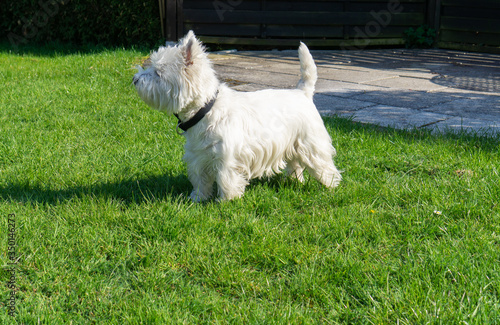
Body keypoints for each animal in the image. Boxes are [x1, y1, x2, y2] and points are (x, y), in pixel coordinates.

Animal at [135, 31, 342, 201]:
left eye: (158, 73)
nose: (135, 79)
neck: (206, 109)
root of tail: (302, 92)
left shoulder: (227, 158)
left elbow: (226, 180)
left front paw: (226, 201)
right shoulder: (198, 156)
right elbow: (200, 180)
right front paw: (196, 199)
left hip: (311, 143)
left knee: (323, 165)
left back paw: (330, 187)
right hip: (292, 144)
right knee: (295, 164)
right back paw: (295, 181)